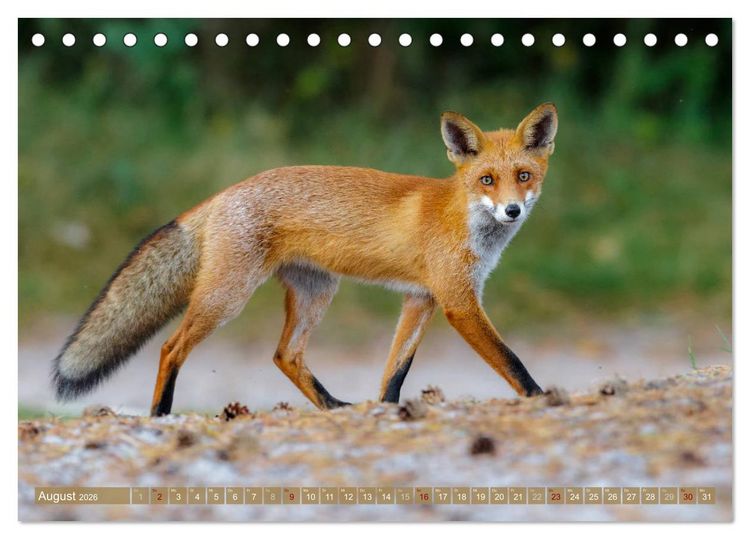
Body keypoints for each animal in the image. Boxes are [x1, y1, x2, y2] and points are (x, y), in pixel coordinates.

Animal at [52, 103, 558, 416]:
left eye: (523, 176)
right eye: (487, 180)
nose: (512, 211)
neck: (462, 219)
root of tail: (226, 192)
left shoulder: (422, 300)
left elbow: (394, 373)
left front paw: (387, 412)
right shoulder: (459, 302)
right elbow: (512, 360)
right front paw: (542, 398)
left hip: (317, 294)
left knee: (285, 355)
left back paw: (333, 407)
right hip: (228, 297)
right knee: (170, 347)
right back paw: (160, 414)